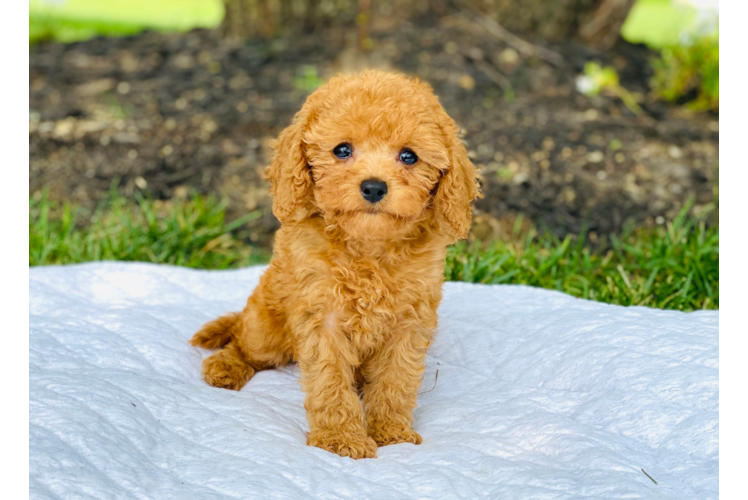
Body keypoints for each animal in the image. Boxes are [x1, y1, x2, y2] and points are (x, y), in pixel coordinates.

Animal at [188, 71, 480, 460]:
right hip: (265, 330)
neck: (369, 249)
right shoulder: (322, 316)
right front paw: (341, 439)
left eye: (409, 156)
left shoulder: (409, 321)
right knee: (244, 344)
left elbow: (396, 379)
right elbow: (330, 381)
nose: (374, 187)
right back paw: (226, 365)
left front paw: (392, 432)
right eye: (342, 150)